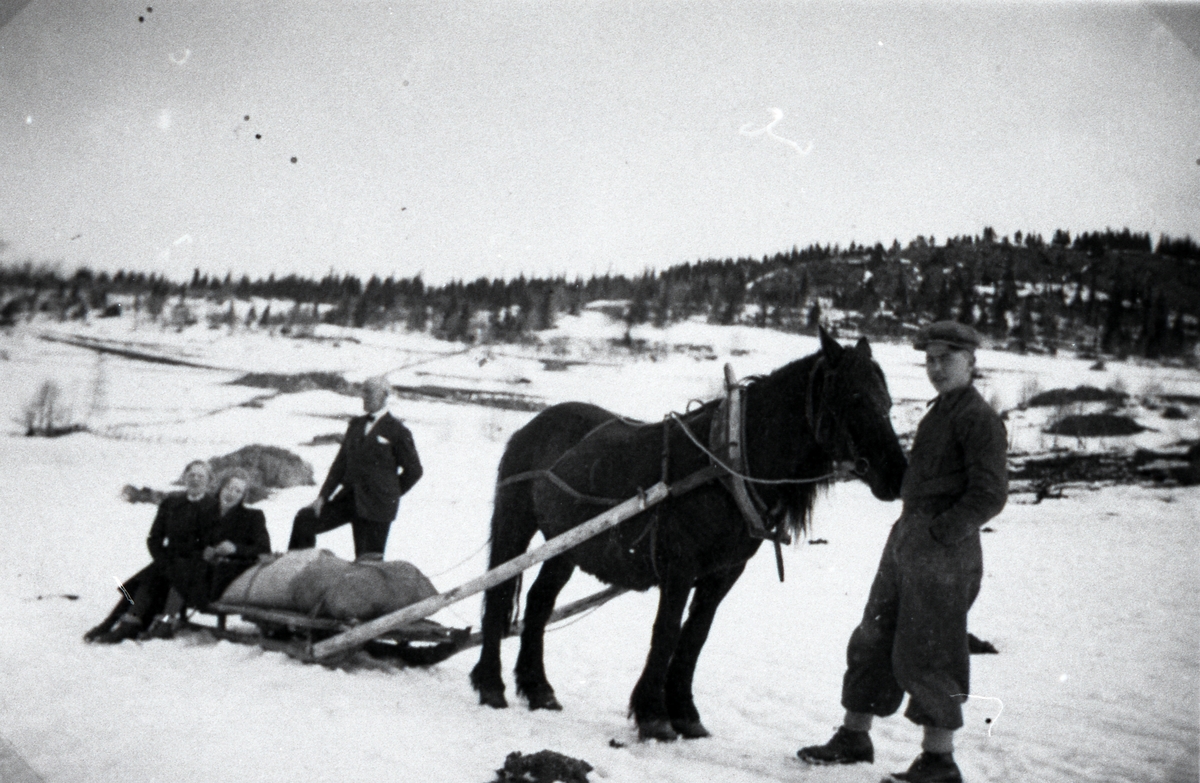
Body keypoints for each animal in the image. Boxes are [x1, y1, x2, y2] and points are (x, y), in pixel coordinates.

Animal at [468, 329, 907, 739]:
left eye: (887, 402)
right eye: (854, 397)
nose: (898, 476)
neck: (726, 467)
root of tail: (533, 425)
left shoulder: (723, 573)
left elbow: (695, 637)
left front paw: (684, 714)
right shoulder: (678, 567)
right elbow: (665, 633)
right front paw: (653, 715)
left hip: (567, 546)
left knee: (539, 603)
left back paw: (538, 688)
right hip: (514, 525)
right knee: (499, 593)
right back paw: (491, 685)